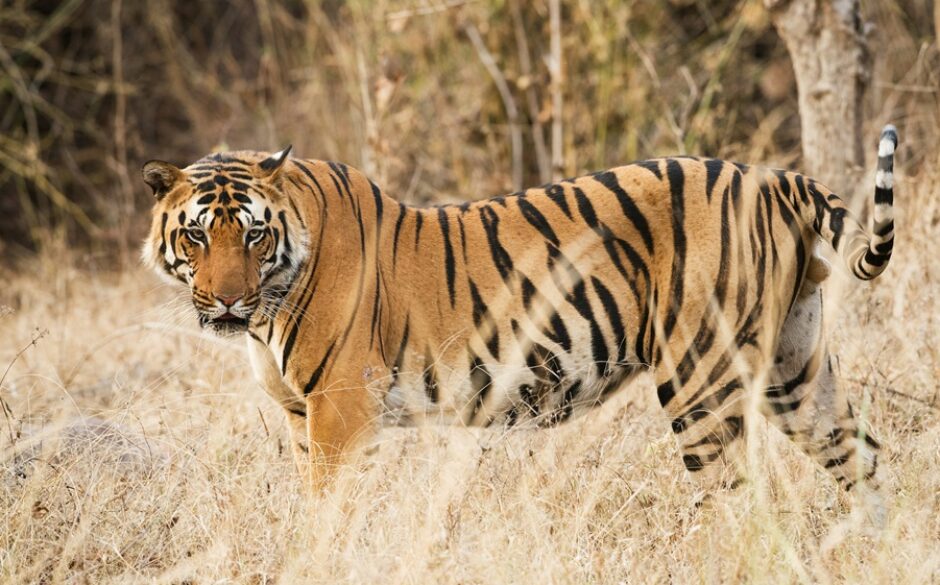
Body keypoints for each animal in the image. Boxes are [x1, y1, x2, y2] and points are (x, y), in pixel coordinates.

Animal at [143, 124, 900, 512]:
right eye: (197, 236)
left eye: (253, 235)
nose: (227, 302)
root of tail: (773, 178)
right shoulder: (301, 414)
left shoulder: (340, 408)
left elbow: (327, 515)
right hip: (794, 369)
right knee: (864, 459)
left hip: (700, 379)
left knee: (738, 502)